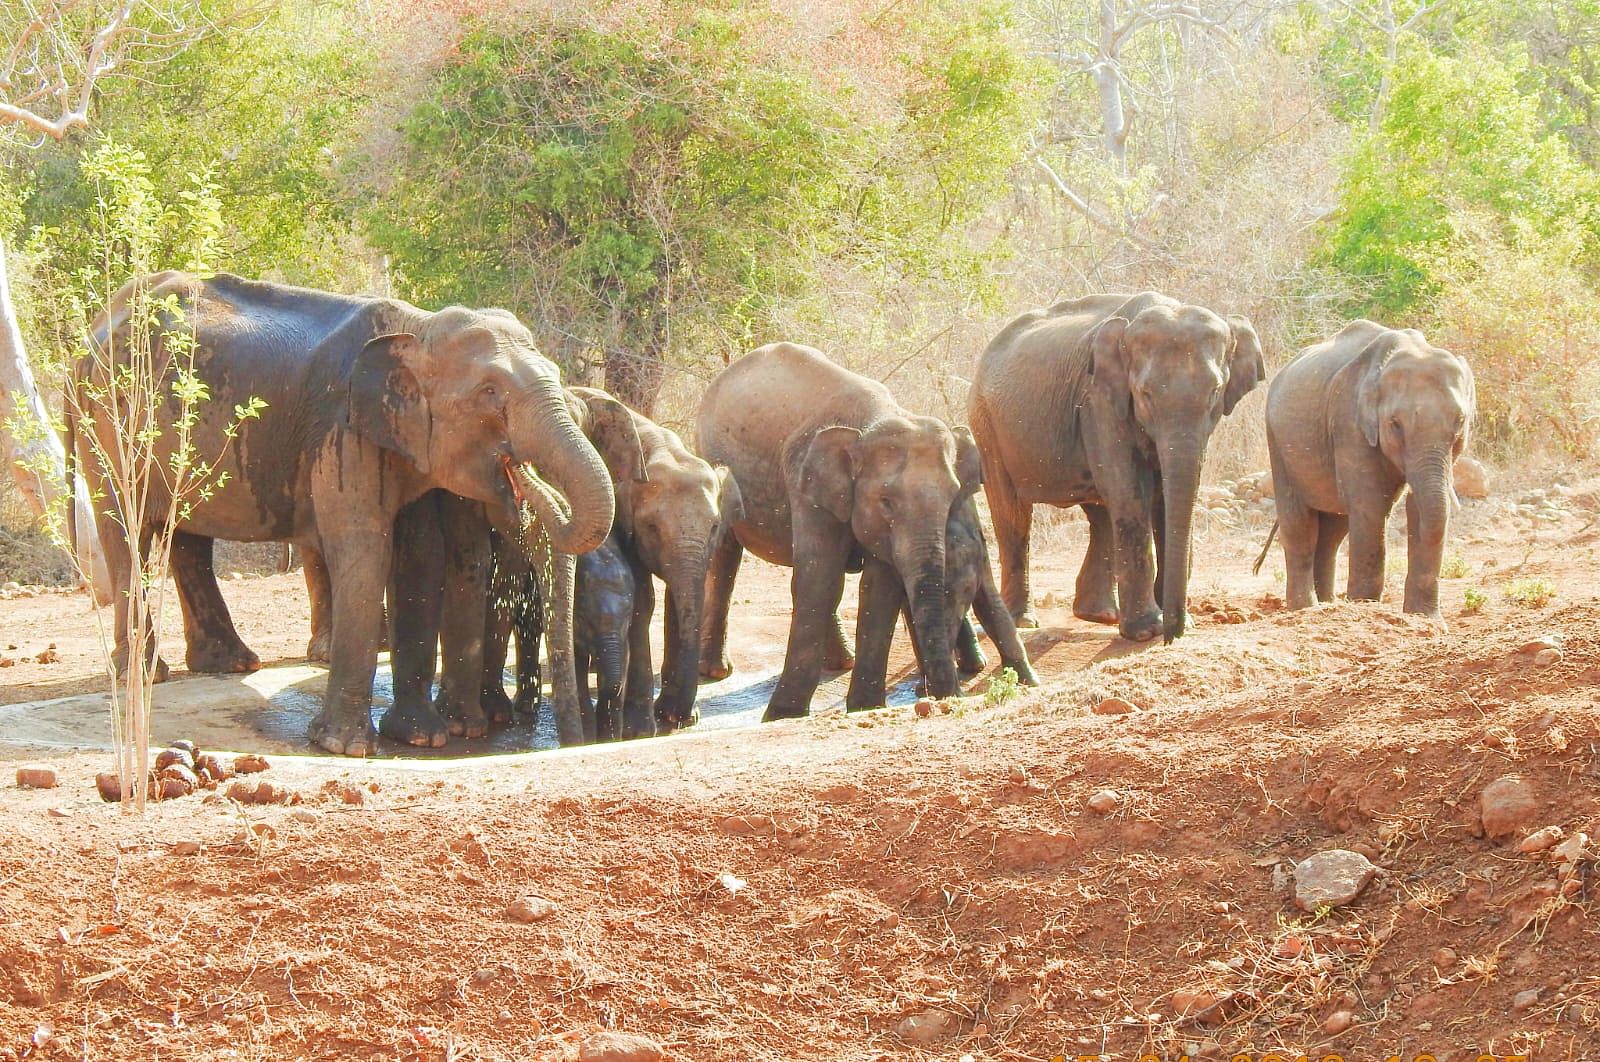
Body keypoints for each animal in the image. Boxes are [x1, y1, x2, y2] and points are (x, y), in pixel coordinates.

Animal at [73, 273, 611, 754]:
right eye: (490, 393)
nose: (518, 472)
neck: (418, 327)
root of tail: (93, 330)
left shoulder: (402, 442)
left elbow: (420, 556)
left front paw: (418, 737)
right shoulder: (343, 428)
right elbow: (365, 546)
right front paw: (343, 746)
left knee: (184, 533)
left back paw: (230, 665)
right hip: (106, 419)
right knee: (125, 525)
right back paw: (146, 674)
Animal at [697, 343, 979, 716]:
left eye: (952, 496)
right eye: (886, 501)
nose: (945, 699)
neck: (873, 421)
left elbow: (878, 588)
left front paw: (865, 708)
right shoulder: (806, 484)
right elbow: (820, 580)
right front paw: (783, 715)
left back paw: (842, 662)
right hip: (710, 453)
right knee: (729, 559)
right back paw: (715, 671)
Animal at [960, 287, 1260, 646]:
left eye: (1215, 392)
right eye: (1144, 393)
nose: (1173, 635)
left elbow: (1165, 500)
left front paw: (1175, 624)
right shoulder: (1100, 400)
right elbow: (1132, 495)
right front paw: (1146, 631)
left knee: (1100, 511)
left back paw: (1099, 615)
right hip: (986, 423)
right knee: (1013, 514)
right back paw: (1024, 621)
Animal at [1260, 316, 1472, 614]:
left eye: (1460, 421)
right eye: (1395, 424)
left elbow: (1418, 505)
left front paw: (1425, 618)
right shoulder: (1349, 422)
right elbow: (1370, 505)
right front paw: (1365, 608)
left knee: (1334, 529)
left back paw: (1327, 605)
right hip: (1277, 440)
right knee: (1300, 524)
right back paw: (1306, 609)